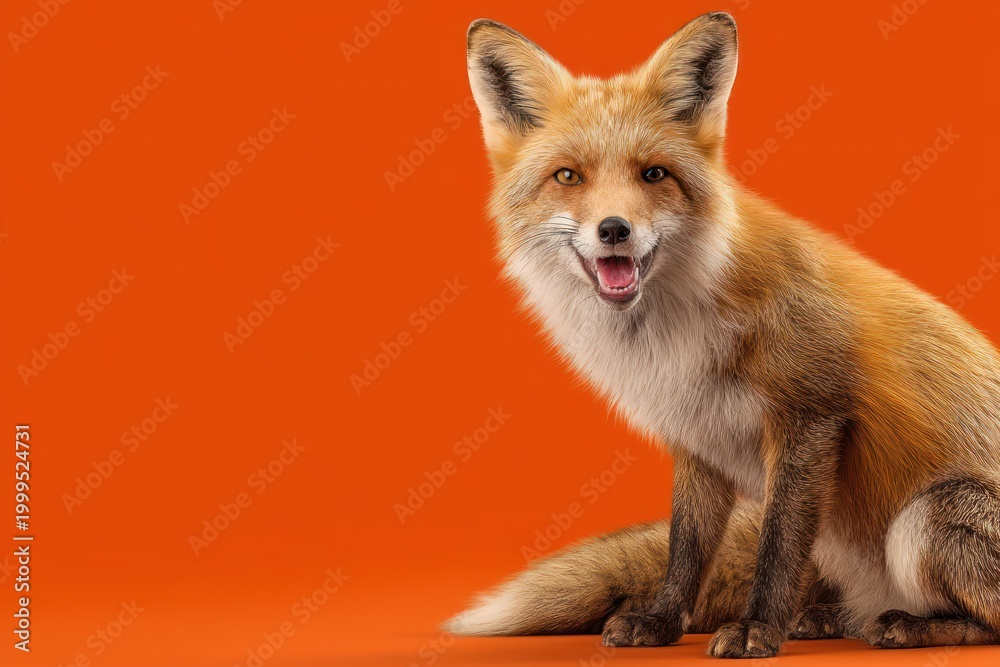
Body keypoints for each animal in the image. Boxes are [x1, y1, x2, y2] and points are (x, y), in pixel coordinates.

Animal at [442, 12, 1000, 658]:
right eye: (568, 177)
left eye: (654, 174)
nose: (614, 229)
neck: (672, 335)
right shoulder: (697, 434)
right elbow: (686, 550)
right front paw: (661, 622)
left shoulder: (810, 416)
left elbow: (777, 546)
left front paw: (759, 628)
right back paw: (830, 617)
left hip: (931, 514)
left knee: (984, 621)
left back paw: (910, 627)